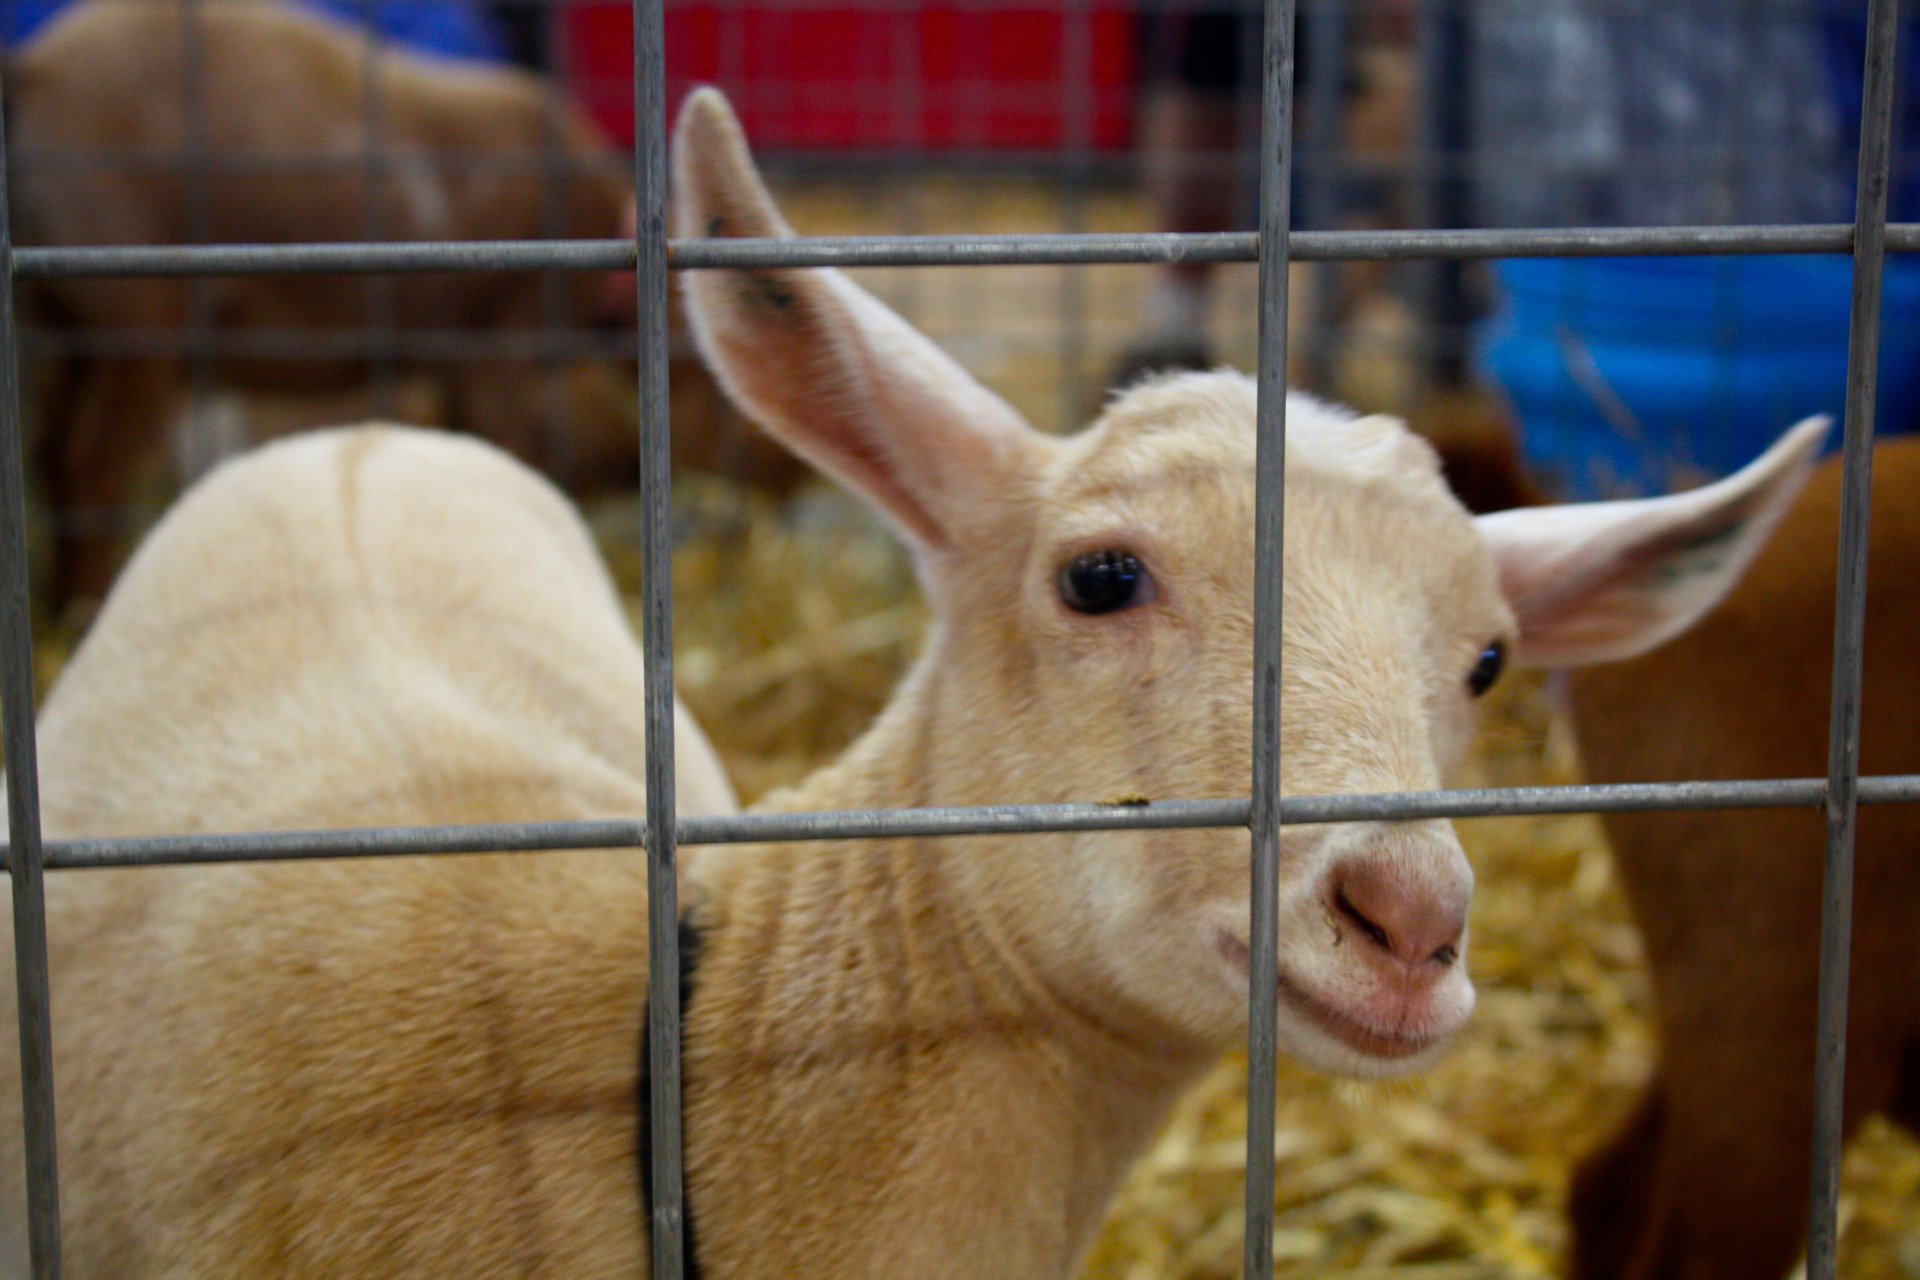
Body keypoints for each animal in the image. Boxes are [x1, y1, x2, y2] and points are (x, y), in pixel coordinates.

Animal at [11, 0, 798, 614]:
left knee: (51, 457)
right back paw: (83, 608)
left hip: (66, 322)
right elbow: (514, 442)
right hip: (135, 316)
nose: (785, 475)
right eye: (714, 382)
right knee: (90, 466)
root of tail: (33, 70)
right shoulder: (498, 336)